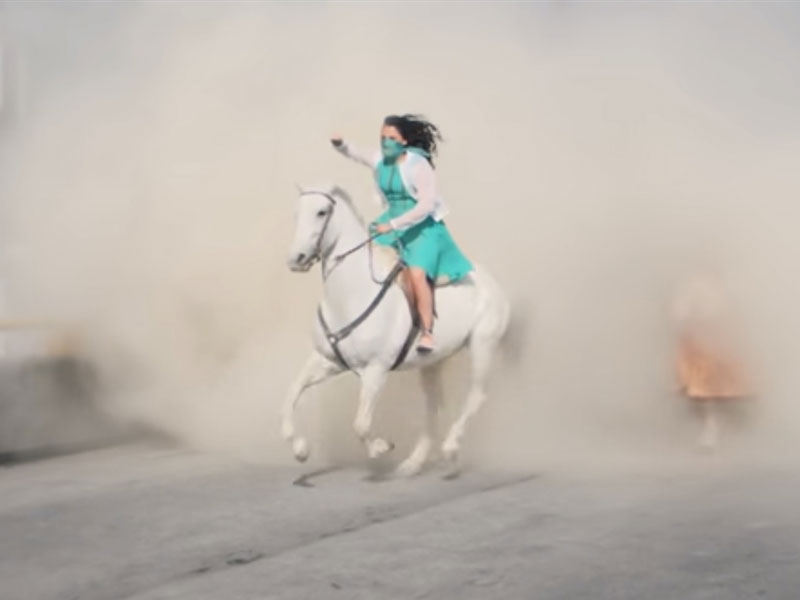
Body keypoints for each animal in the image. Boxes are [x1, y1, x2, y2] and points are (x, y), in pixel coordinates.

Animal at [282, 185, 511, 476]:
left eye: (321, 212)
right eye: (296, 212)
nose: (296, 259)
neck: (351, 294)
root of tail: (489, 281)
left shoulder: (376, 370)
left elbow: (361, 423)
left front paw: (380, 447)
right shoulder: (327, 361)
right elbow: (292, 393)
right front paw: (301, 450)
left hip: (482, 347)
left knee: (476, 397)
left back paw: (450, 449)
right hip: (432, 363)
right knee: (433, 407)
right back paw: (413, 463)